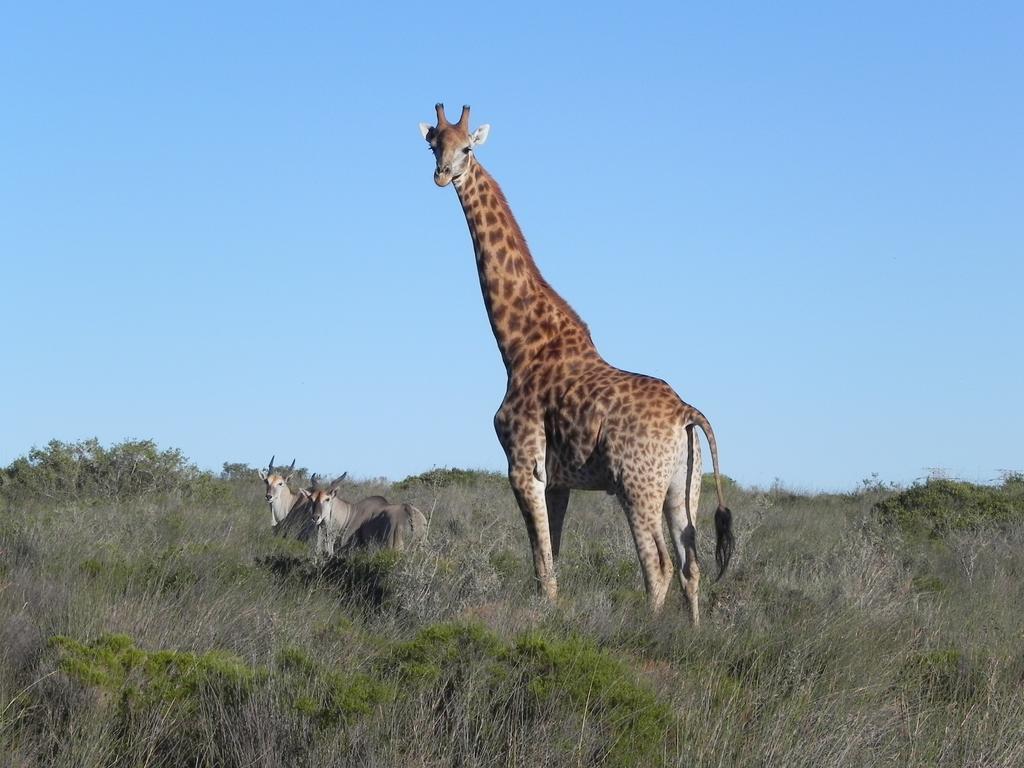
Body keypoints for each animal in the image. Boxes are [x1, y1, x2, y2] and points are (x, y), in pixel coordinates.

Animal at [419, 103, 733, 618]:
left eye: (467, 148)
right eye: (433, 145)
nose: (443, 175)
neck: (519, 345)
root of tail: (688, 414)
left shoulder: (523, 464)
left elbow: (542, 565)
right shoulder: (558, 481)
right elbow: (552, 558)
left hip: (636, 484)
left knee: (658, 565)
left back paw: (650, 631)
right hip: (683, 488)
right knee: (691, 565)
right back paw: (693, 632)